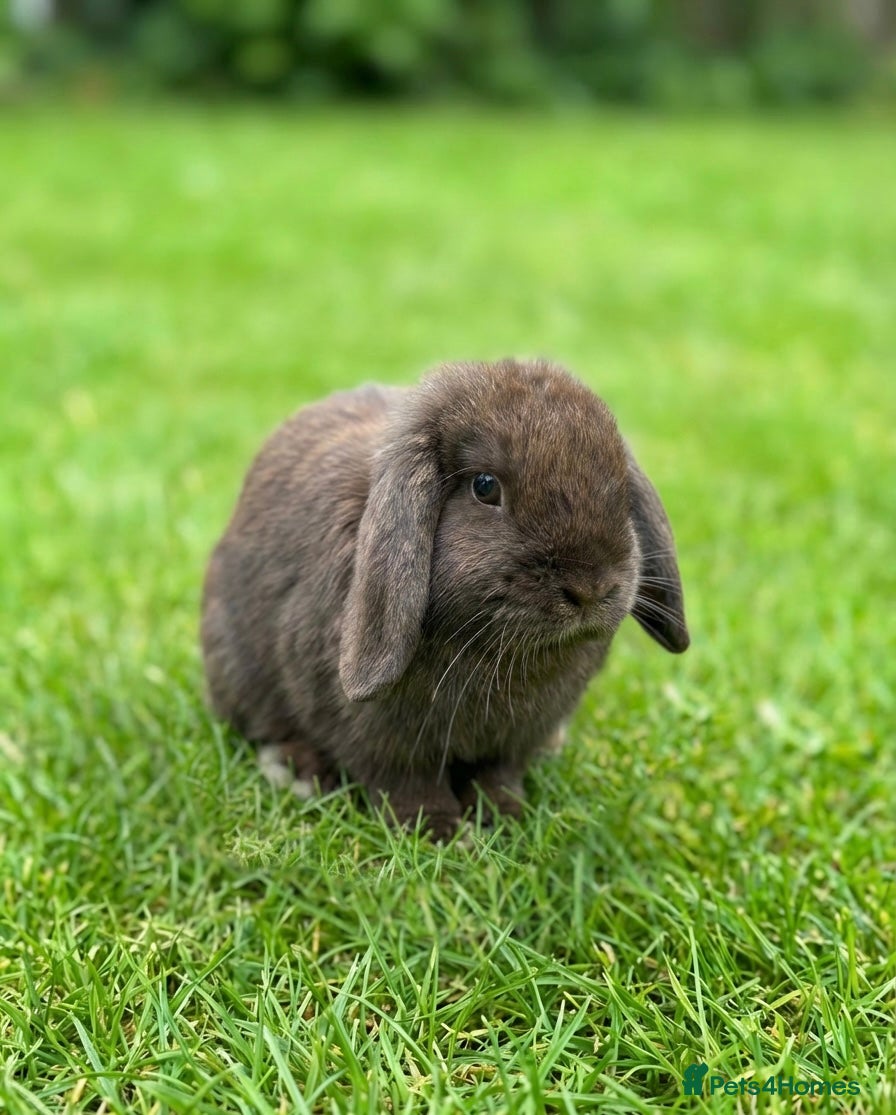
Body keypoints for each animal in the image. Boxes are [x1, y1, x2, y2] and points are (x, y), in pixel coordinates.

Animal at [201, 357, 689, 838]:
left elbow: (498, 775)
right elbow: (405, 783)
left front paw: (503, 819)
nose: (591, 588)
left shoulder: (511, 743)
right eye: (485, 486)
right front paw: (435, 831)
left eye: (619, 487)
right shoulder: (378, 738)